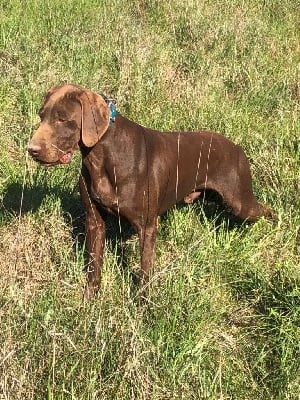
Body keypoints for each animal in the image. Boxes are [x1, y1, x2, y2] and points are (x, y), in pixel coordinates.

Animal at [27, 83, 274, 296]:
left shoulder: (146, 226)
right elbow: (94, 266)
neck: (103, 156)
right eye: (41, 116)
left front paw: (142, 305)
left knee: (267, 211)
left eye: (62, 119)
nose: (32, 150)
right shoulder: (94, 221)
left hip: (239, 201)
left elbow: (145, 270)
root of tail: (238, 148)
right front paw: (90, 300)